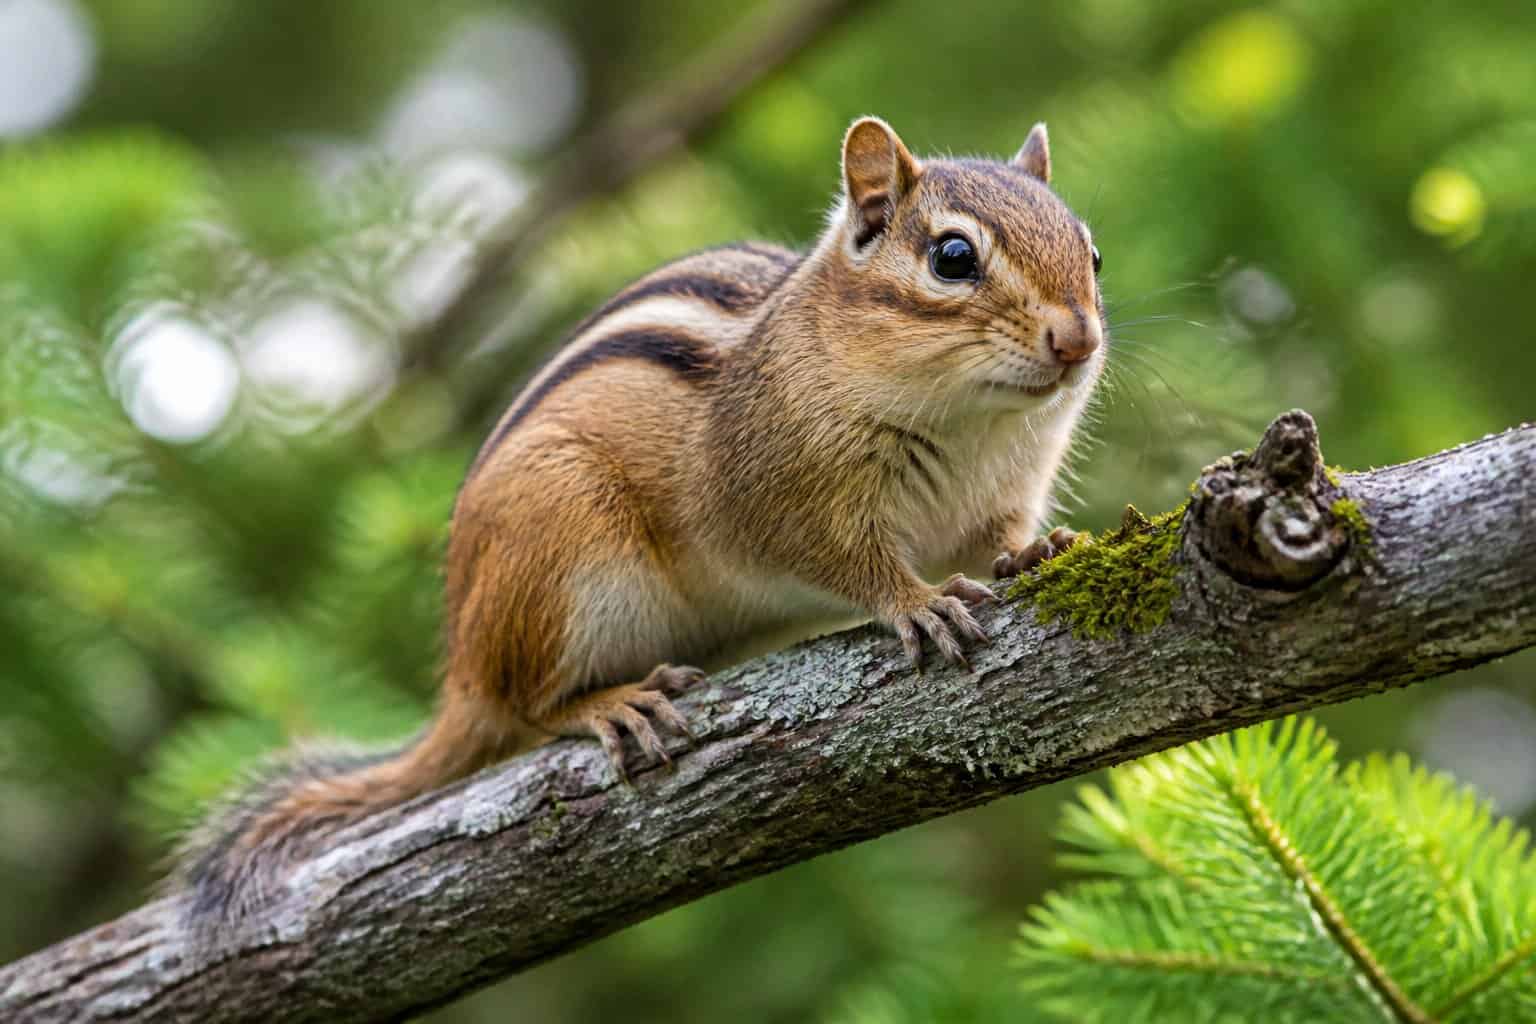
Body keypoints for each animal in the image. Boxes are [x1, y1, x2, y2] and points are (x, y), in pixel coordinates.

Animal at [175, 116, 1106, 924]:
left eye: (1091, 251)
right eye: (953, 257)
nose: (1079, 341)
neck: (972, 423)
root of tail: (461, 668)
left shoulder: (1000, 492)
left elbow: (1001, 537)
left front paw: (1043, 549)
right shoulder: (779, 496)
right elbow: (850, 563)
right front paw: (917, 602)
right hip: (560, 555)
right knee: (523, 707)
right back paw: (609, 705)